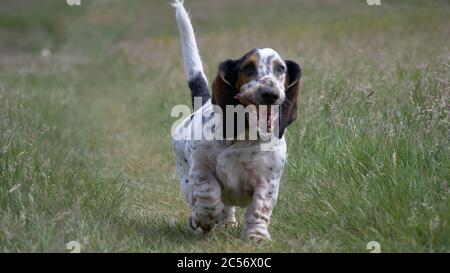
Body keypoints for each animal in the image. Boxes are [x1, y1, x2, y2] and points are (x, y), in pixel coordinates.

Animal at [171, 0, 300, 239]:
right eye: (248, 68)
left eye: (281, 69)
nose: (270, 93)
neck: (243, 137)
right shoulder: (200, 171)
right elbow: (208, 194)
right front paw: (203, 219)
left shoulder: (267, 181)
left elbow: (260, 207)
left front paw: (256, 236)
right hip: (184, 176)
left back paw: (228, 222)